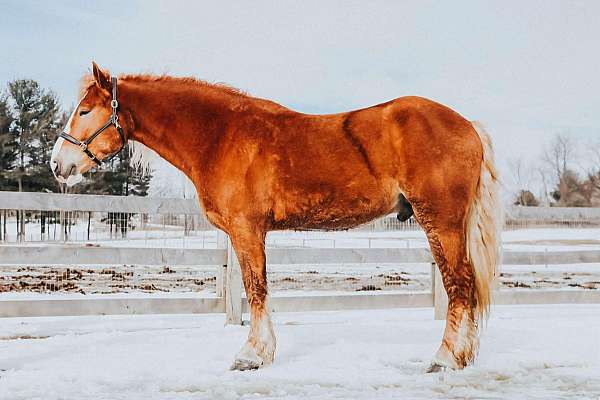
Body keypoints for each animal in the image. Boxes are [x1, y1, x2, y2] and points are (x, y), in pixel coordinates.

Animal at [50, 62, 502, 372]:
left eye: (85, 111)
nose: (58, 164)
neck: (221, 135)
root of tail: (468, 126)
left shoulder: (247, 230)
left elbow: (256, 289)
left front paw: (252, 355)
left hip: (440, 221)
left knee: (459, 285)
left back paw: (445, 359)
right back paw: (463, 357)